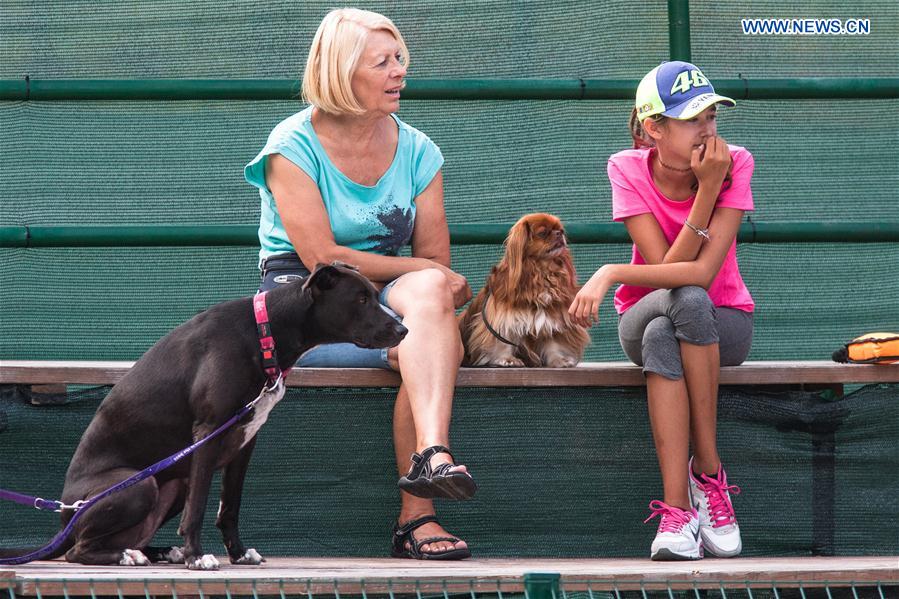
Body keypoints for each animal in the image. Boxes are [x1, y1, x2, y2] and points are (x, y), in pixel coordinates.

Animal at [0, 264, 406, 568]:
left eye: (373, 295)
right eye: (360, 298)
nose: (403, 329)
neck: (265, 330)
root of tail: (64, 520)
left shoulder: (244, 440)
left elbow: (230, 507)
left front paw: (238, 554)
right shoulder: (208, 432)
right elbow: (198, 509)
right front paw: (197, 557)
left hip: (173, 481)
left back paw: (159, 552)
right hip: (139, 484)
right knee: (77, 552)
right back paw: (132, 557)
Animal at [458, 213, 592, 368]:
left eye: (561, 230)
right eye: (542, 233)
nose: (559, 233)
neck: (541, 271)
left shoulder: (552, 316)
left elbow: (553, 343)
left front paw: (559, 360)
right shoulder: (501, 316)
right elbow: (502, 340)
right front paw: (507, 359)